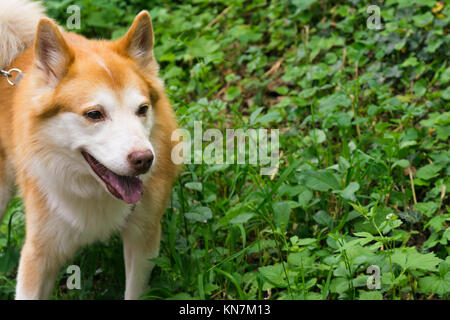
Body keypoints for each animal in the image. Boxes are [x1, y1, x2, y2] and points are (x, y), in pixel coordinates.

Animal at [0, 0, 179, 300]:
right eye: (94, 114)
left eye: (142, 109)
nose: (144, 159)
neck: (91, 189)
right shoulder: (39, 253)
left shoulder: (144, 239)